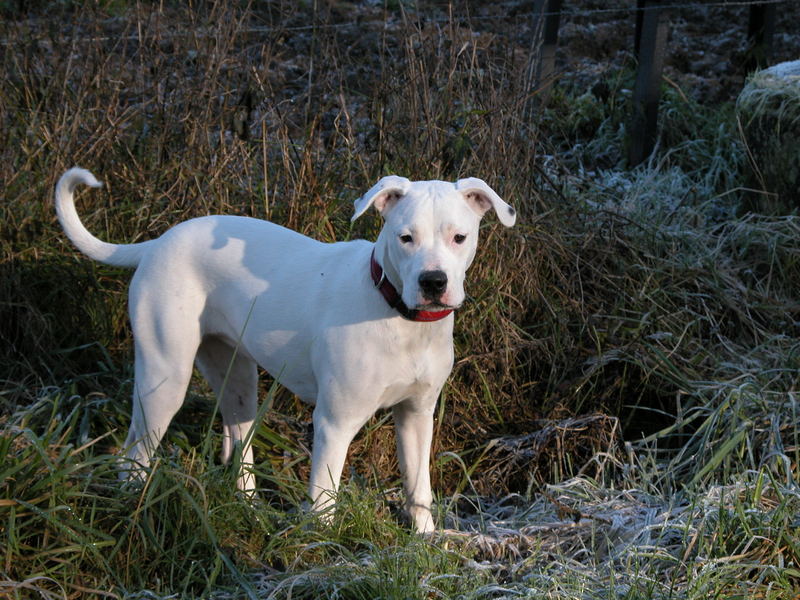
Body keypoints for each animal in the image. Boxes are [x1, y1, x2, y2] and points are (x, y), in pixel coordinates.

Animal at [57, 166, 520, 532]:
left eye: (459, 237)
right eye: (405, 238)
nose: (433, 282)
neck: (396, 314)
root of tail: (158, 243)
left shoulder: (416, 415)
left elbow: (418, 488)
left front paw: (426, 542)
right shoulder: (335, 421)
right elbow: (325, 498)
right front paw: (321, 551)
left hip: (237, 377)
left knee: (238, 442)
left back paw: (249, 509)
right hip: (164, 377)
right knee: (133, 454)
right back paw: (131, 507)